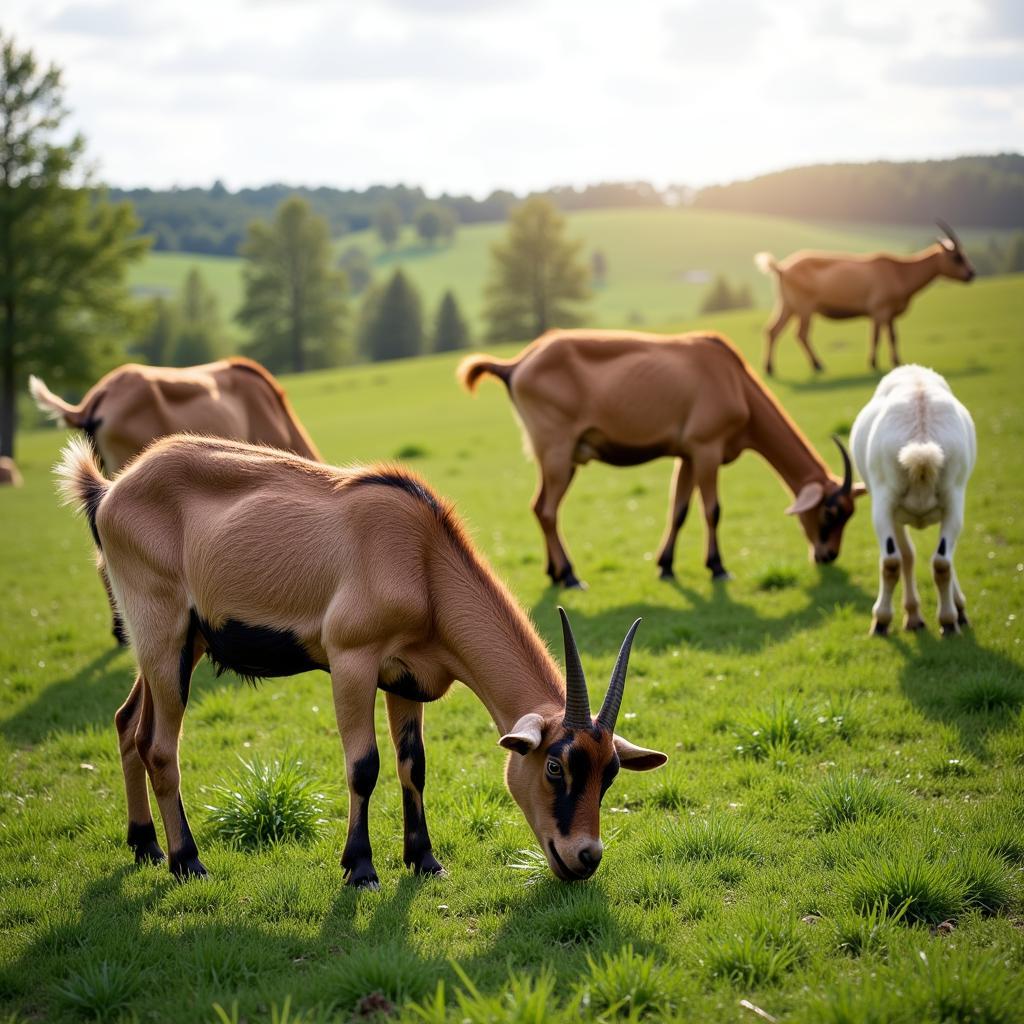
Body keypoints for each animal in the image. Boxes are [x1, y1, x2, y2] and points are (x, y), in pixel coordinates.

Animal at [58, 436, 663, 884]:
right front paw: (361, 868)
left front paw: (424, 860)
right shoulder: (352, 661)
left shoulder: (406, 678)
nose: (584, 857)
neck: (423, 559)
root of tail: (108, 491)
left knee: (129, 725)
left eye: (610, 772)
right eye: (556, 765)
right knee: (160, 747)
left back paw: (144, 846)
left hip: (177, 646)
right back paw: (187, 861)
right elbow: (364, 765)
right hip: (163, 636)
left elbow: (413, 764)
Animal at [458, 331, 864, 589]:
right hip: (558, 451)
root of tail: (516, 366)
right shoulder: (707, 449)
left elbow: (679, 510)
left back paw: (555, 573)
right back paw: (571, 576)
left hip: (556, 457)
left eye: (850, 513)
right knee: (546, 509)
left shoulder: (687, 455)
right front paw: (718, 568)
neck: (734, 380)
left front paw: (666, 567)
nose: (828, 555)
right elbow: (712, 510)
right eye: (831, 512)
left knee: (539, 506)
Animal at [757, 220, 978, 376]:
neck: (900, 272)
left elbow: (893, 336)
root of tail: (781, 267)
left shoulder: (889, 313)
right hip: (804, 306)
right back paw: (818, 365)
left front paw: (896, 361)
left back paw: (770, 368)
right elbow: (876, 336)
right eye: (957, 257)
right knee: (801, 334)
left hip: (787, 305)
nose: (971, 274)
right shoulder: (879, 309)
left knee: (772, 330)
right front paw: (873, 363)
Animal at [847, 364, 974, 634]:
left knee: (925, 560)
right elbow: (907, 559)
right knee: (938, 560)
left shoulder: (891, 510)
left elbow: (909, 559)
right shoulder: (892, 508)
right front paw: (916, 616)